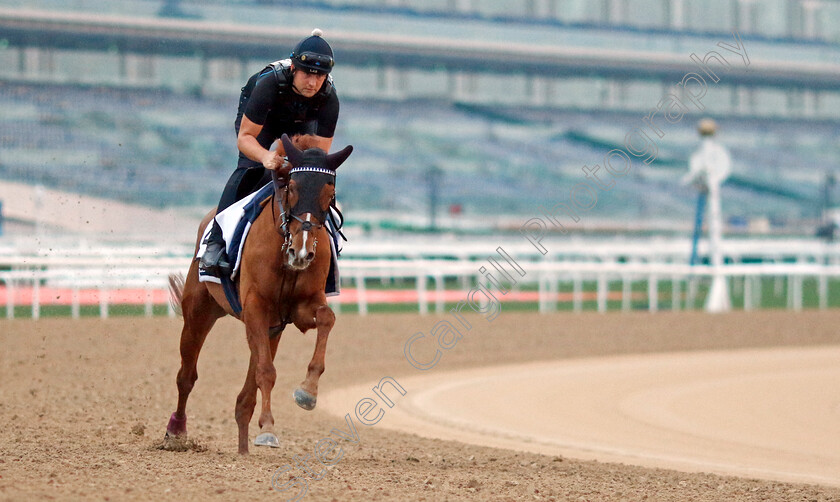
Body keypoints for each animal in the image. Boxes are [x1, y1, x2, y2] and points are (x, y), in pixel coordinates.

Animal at [166, 133, 352, 454]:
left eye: (329, 191)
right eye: (292, 187)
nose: (302, 252)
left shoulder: (301, 307)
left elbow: (327, 318)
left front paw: (307, 392)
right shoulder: (255, 305)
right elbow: (266, 371)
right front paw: (267, 428)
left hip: (272, 327)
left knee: (245, 396)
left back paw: (242, 448)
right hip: (199, 312)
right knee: (186, 376)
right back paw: (176, 432)